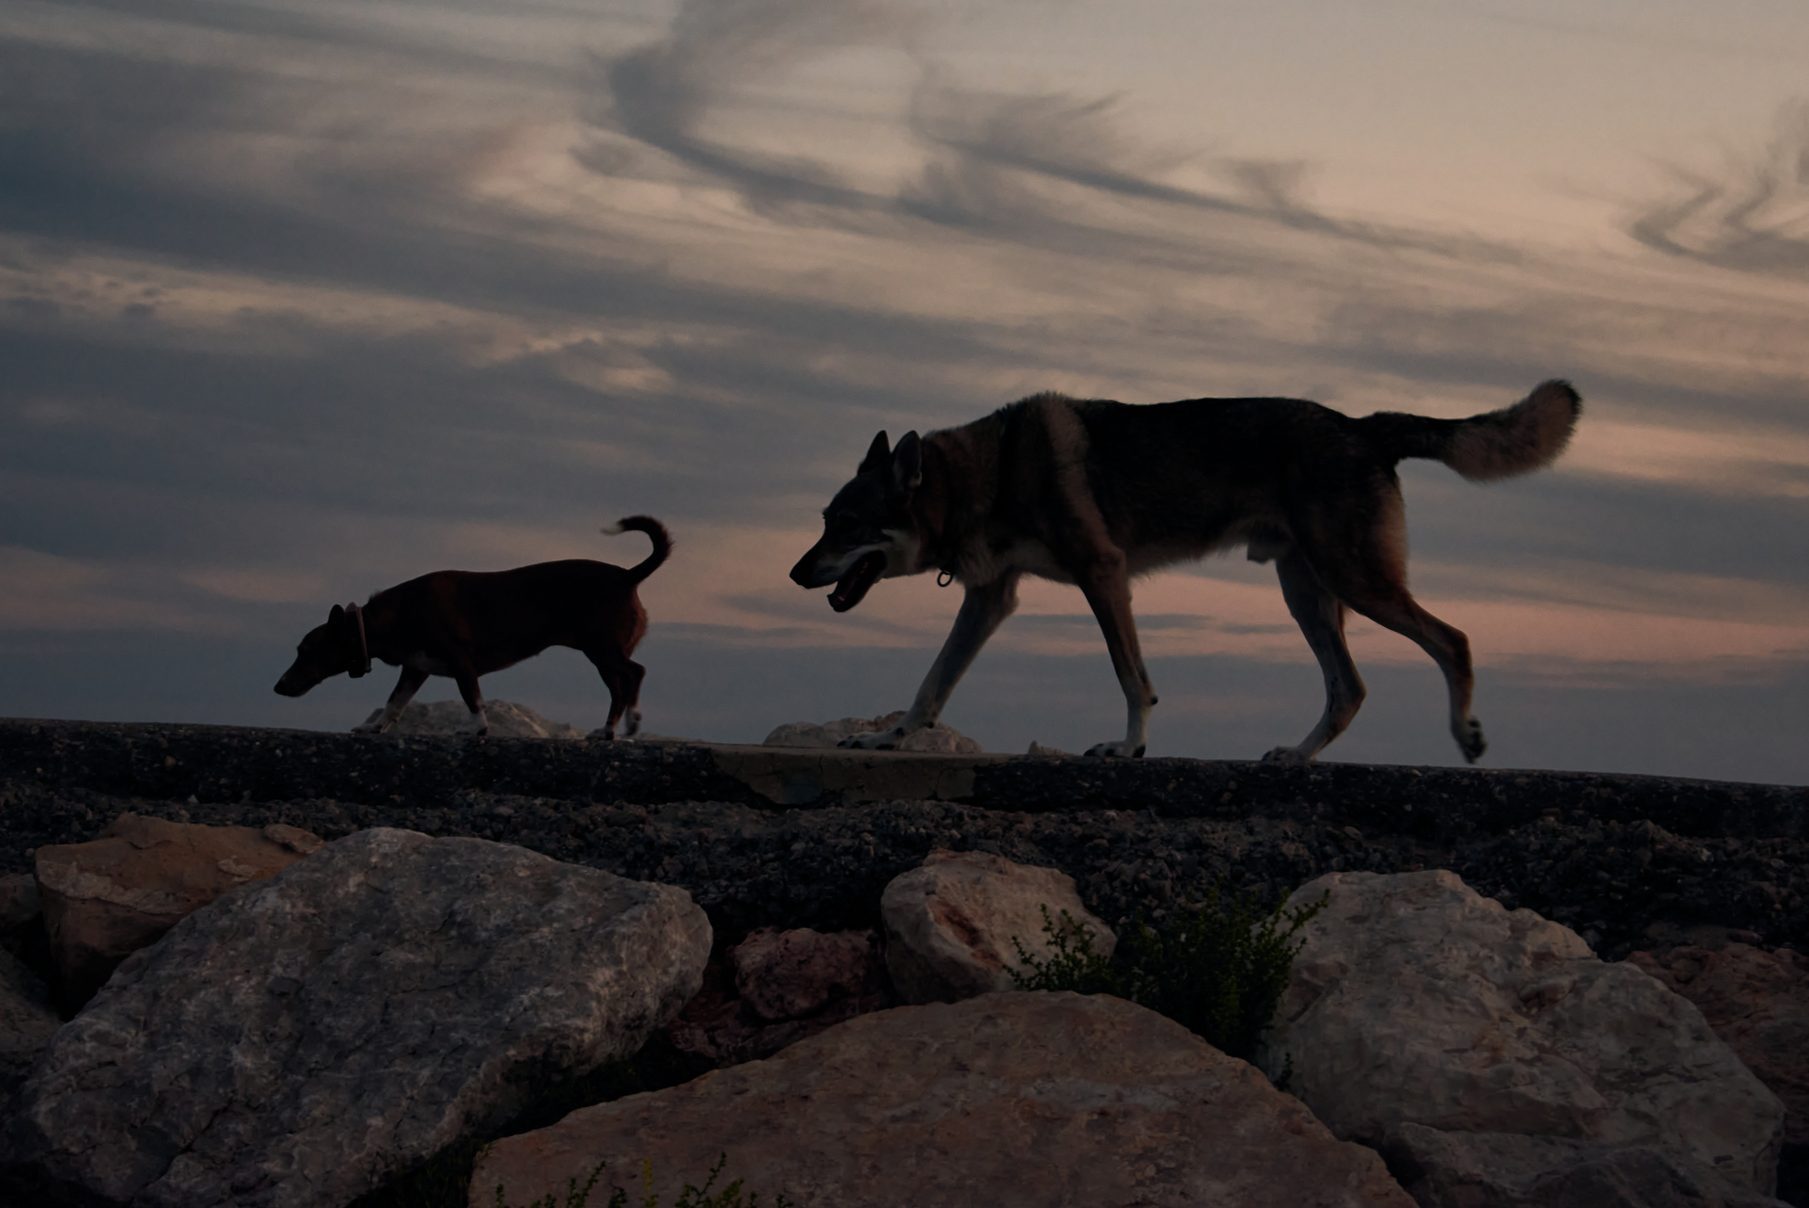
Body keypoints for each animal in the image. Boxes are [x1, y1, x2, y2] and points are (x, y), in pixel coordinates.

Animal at [278, 517, 676, 737]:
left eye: (306, 651)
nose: (277, 687)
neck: (394, 616)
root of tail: (628, 575)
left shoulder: (460, 662)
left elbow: (473, 699)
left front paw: (476, 729)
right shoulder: (415, 669)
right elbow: (394, 702)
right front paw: (373, 727)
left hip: (602, 648)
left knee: (635, 674)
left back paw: (628, 723)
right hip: (601, 655)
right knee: (620, 687)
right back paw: (609, 731)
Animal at [792, 377, 1584, 759]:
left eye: (846, 526)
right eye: (825, 520)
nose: (796, 575)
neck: (985, 473)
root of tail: (1361, 425)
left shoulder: (1102, 575)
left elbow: (1132, 678)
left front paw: (1128, 747)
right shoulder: (990, 600)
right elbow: (929, 686)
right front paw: (883, 739)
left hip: (1356, 582)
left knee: (1453, 641)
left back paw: (1465, 735)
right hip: (1308, 593)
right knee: (1349, 688)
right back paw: (1296, 757)